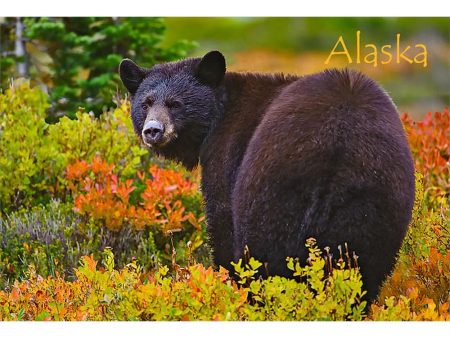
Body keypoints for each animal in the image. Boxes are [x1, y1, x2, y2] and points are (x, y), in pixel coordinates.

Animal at [118, 50, 414, 302]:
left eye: (175, 104)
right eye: (145, 103)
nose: (153, 130)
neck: (219, 114)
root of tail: (338, 146)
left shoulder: (227, 151)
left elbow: (222, 221)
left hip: (273, 192)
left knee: (264, 255)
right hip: (375, 203)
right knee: (365, 266)